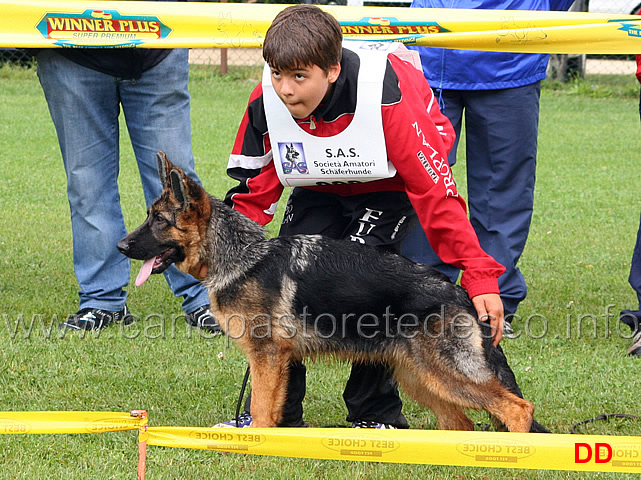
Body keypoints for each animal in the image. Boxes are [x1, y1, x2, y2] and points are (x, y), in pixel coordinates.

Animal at [119, 154, 536, 432]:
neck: (242, 256)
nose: (121, 246)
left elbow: (261, 410)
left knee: (518, 408)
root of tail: (462, 294)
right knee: (462, 424)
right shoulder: (277, 362)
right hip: (421, 379)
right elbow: (270, 407)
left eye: (159, 220)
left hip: (446, 376)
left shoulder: (266, 358)